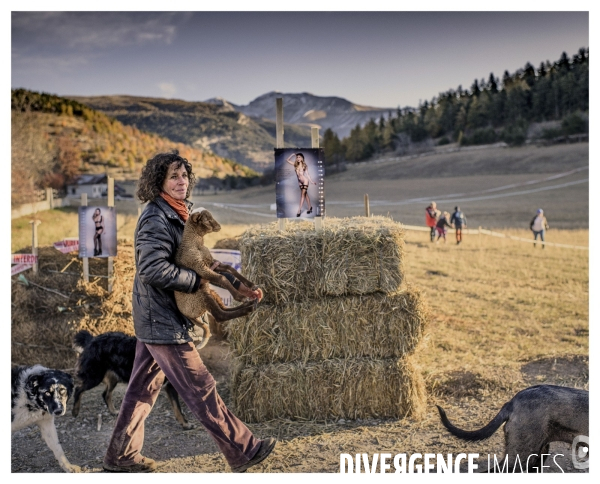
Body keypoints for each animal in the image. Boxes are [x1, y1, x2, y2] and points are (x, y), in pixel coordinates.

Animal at [172, 208, 258, 348]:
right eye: (207, 219)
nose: (219, 227)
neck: (195, 243)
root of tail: (188, 315)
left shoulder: (211, 263)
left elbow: (229, 269)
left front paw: (250, 285)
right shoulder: (200, 268)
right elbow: (221, 278)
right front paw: (239, 296)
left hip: (211, 293)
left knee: (224, 309)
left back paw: (249, 303)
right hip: (201, 298)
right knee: (220, 315)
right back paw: (248, 307)